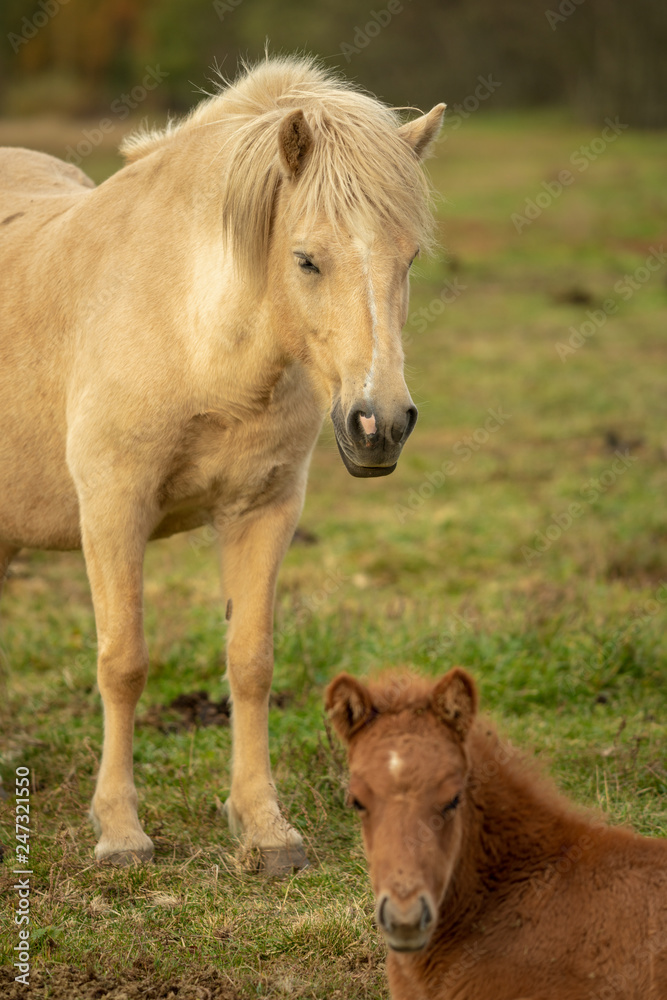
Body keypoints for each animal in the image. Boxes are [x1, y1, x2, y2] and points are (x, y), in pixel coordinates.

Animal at [0, 55, 445, 872]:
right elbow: (123, 662)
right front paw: (120, 830)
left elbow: (251, 662)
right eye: (307, 259)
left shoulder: (263, 512)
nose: (380, 426)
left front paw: (264, 828)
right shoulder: (112, 509)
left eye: (410, 258)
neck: (193, 333)